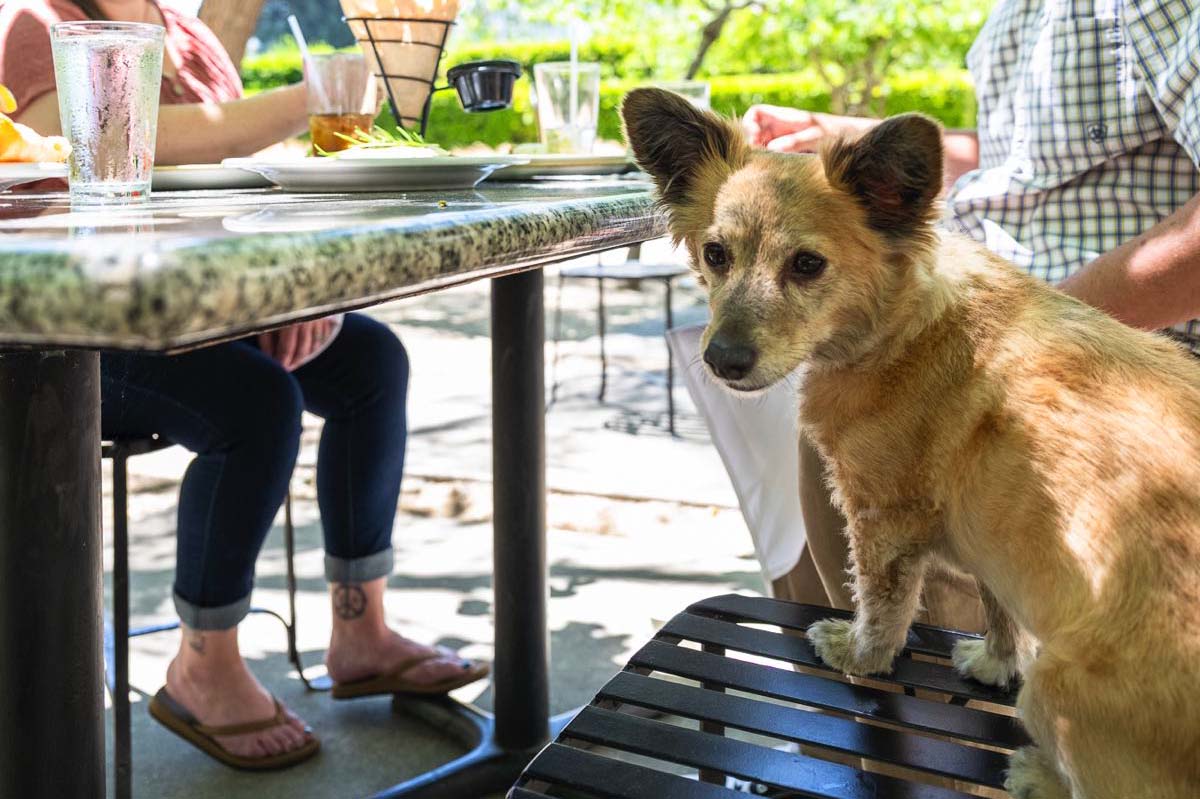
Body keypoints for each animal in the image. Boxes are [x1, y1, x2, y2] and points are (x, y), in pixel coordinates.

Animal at [624, 85, 1200, 796]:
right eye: (715, 254)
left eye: (808, 265)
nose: (722, 360)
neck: (899, 325)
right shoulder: (993, 537)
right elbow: (997, 611)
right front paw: (994, 662)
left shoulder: (881, 522)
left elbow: (883, 611)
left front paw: (859, 656)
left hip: (1055, 691)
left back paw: (1038, 773)